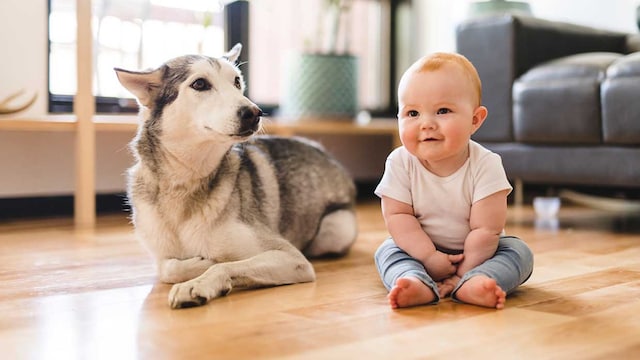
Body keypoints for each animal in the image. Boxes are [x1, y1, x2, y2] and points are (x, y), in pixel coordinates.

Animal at [113, 44, 358, 310]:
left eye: (237, 82)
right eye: (200, 84)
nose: (255, 112)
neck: (186, 181)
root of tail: (323, 150)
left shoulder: (292, 258)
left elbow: (224, 265)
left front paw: (199, 281)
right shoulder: (161, 255)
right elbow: (168, 268)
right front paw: (200, 264)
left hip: (335, 229)